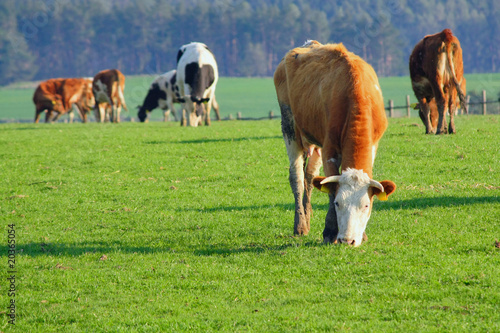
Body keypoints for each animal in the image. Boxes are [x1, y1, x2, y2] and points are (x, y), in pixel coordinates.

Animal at [274, 40, 394, 245]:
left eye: (366, 205)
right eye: (338, 203)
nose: (348, 240)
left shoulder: (373, 144)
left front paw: (362, 235)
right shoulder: (329, 148)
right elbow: (330, 187)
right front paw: (330, 231)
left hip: (314, 141)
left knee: (309, 177)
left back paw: (307, 216)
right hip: (289, 126)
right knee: (297, 177)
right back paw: (300, 224)